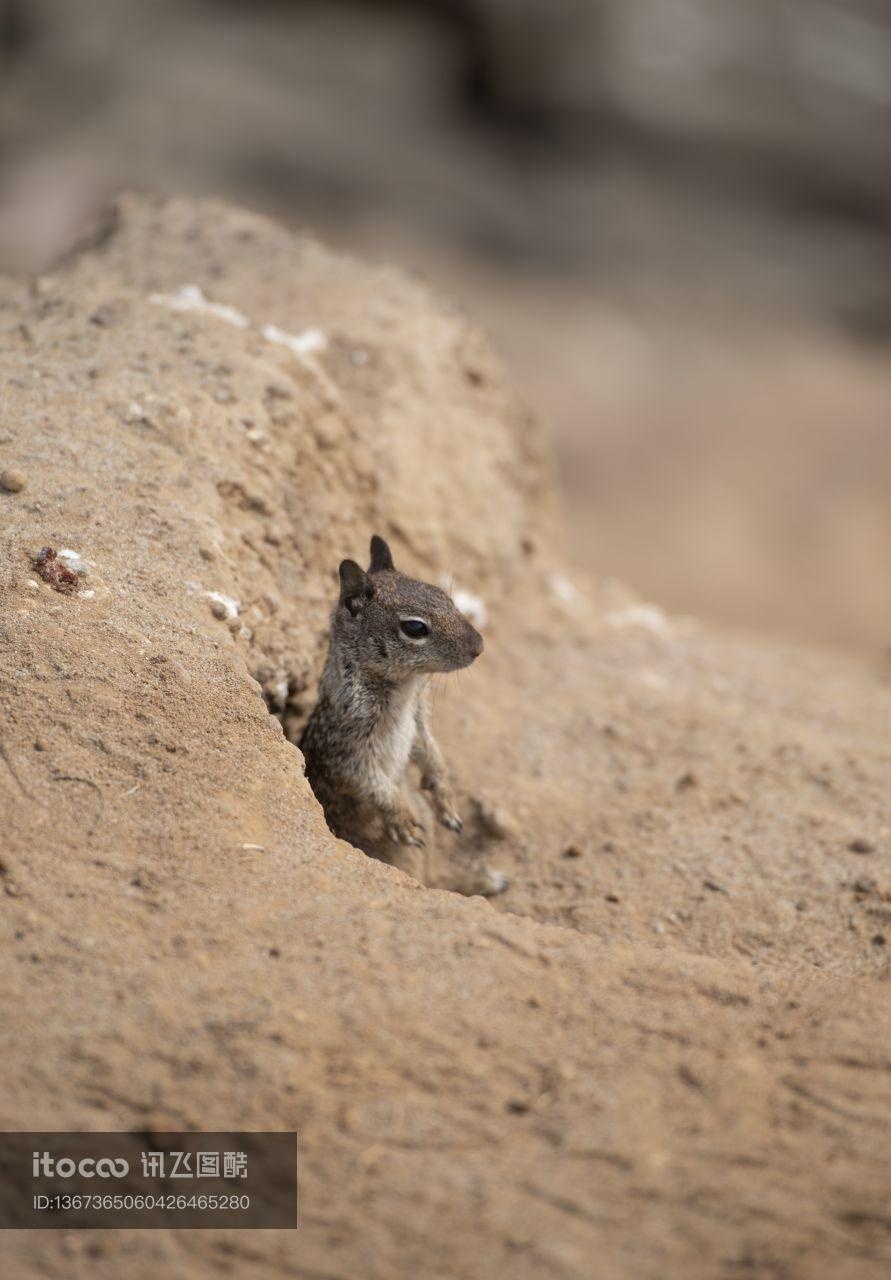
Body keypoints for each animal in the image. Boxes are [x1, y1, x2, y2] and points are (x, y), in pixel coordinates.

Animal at [300, 535, 504, 896]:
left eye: (447, 598)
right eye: (414, 628)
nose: (479, 646)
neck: (404, 686)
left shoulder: (419, 719)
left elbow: (431, 751)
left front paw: (444, 795)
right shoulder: (346, 746)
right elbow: (372, 783)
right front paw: (401, 820)